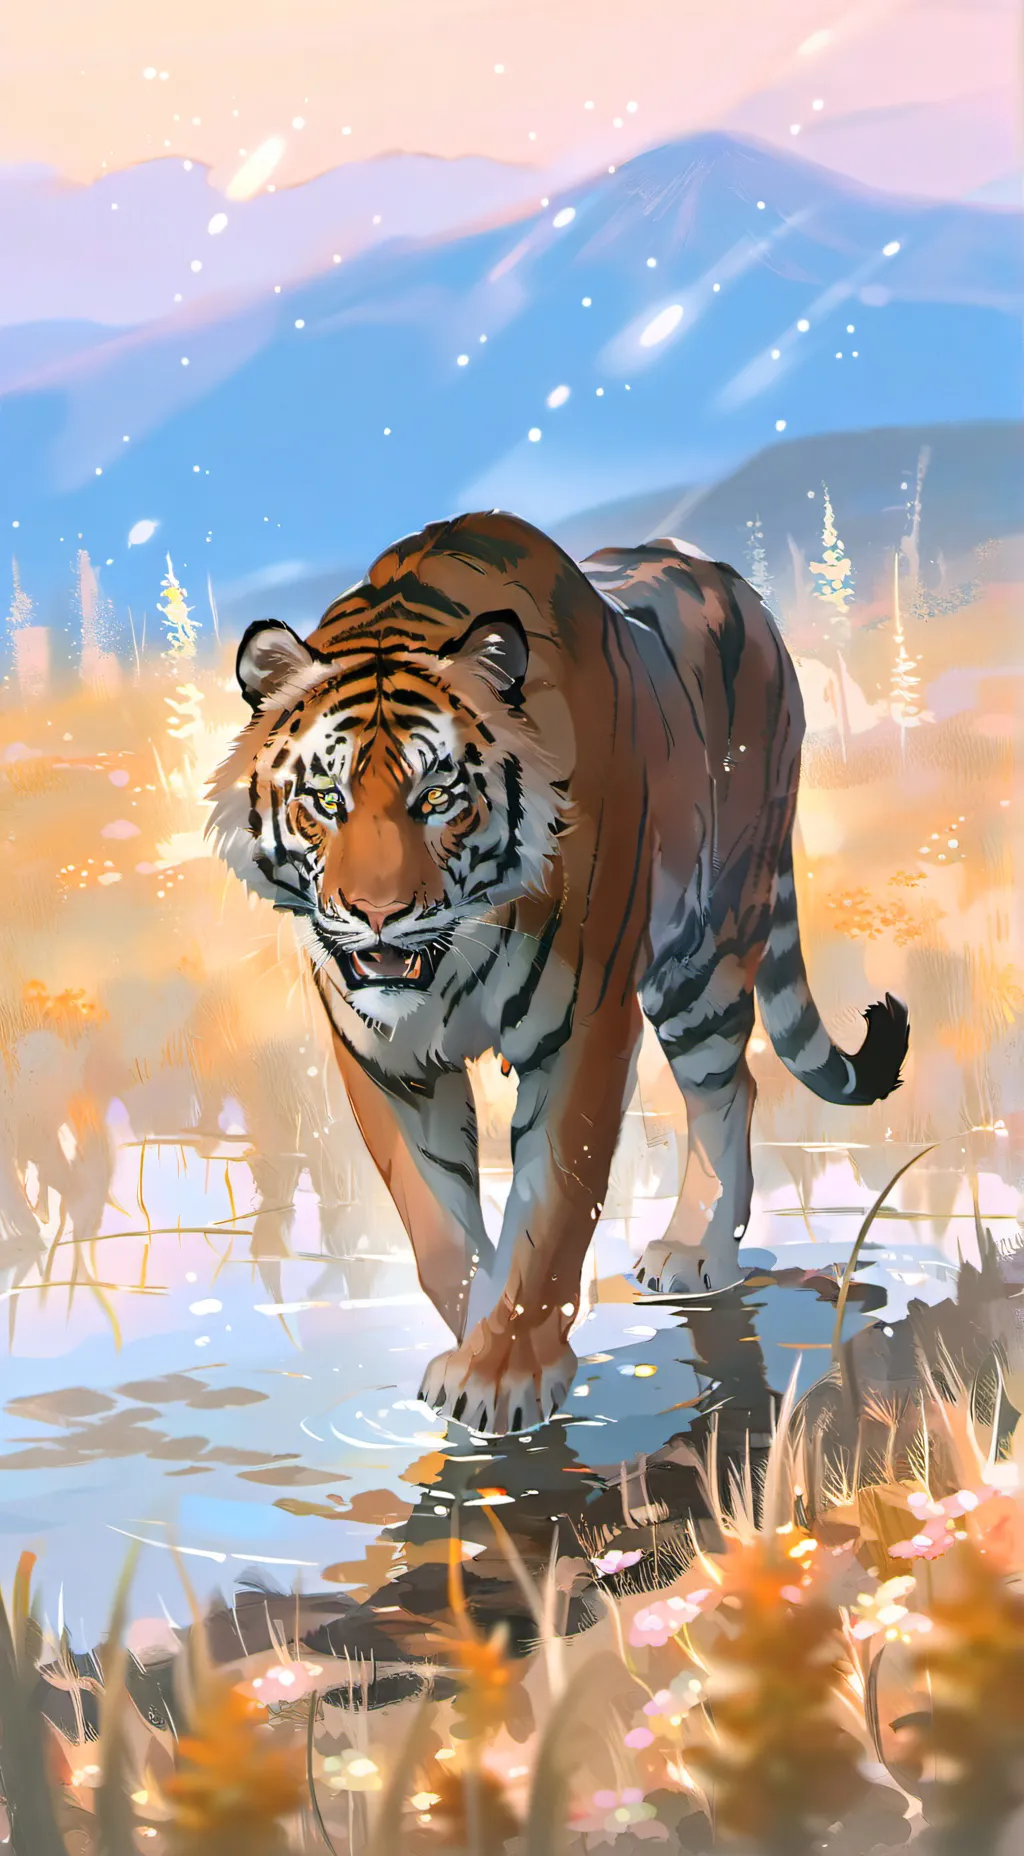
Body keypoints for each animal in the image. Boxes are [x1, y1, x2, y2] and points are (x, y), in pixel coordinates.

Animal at [208, 509, 908, 1435]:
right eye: (327, 800)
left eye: (438, 798)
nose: (377, 915)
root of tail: (728, 579)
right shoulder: (383, 1059)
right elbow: (437, 1227)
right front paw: (472, 1333)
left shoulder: (584, 1028)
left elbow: (551, 1209)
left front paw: (503, 1371)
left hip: (709, 946)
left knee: (726, 1088)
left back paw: (694, 1251)